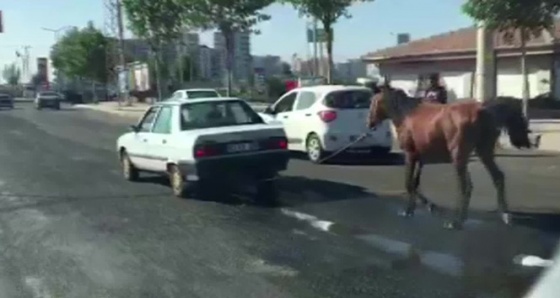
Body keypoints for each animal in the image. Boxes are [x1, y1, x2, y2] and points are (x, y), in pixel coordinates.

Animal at [370, 89, 532, 230]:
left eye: (374, 102)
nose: (370, 123)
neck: (407, 115)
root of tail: (483, 109)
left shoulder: (410, 155)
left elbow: (409, 183)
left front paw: (410, 210)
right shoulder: (420, 159)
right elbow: (415, 183)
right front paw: (424, 207)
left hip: (459, 156)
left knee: (466, 186)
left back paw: (457, 222)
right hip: (483, 152)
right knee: (497, 177)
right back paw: (505, 215)